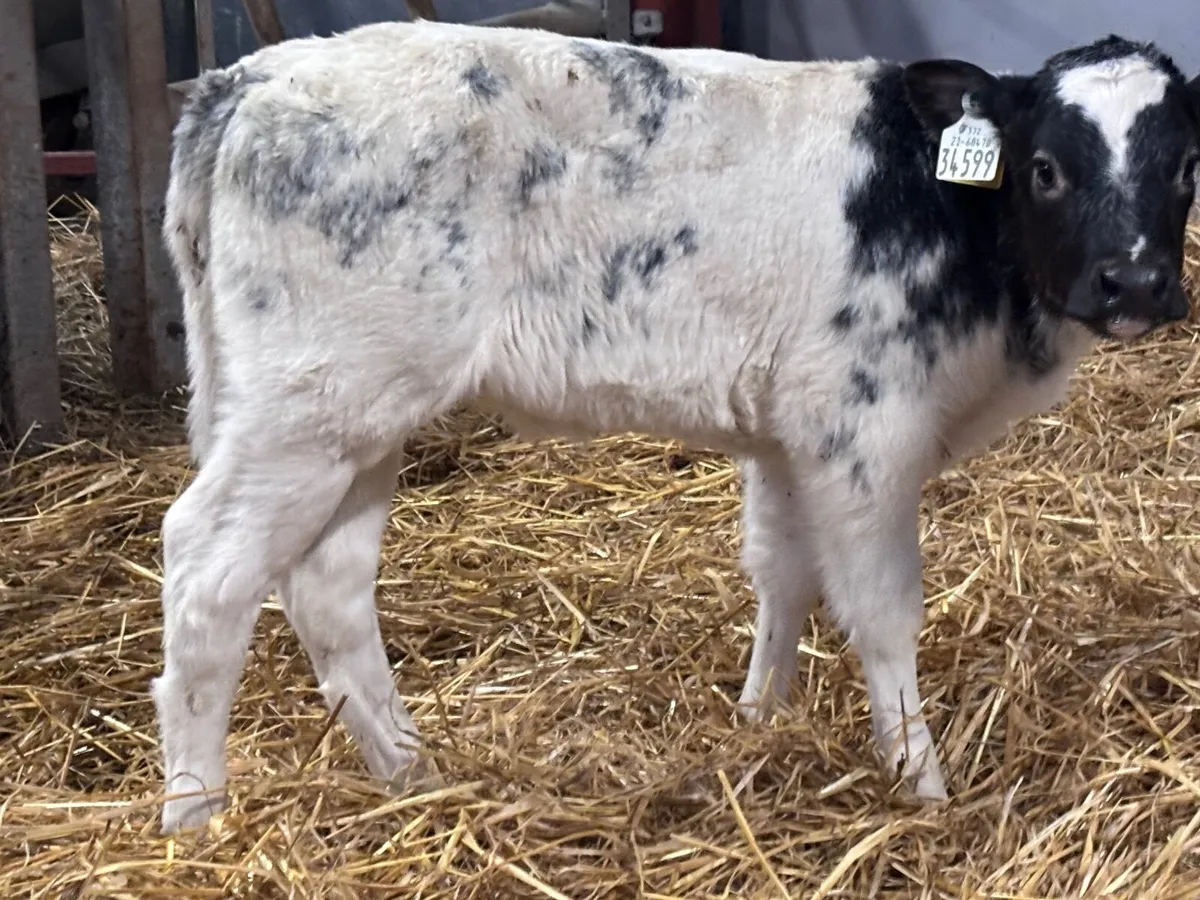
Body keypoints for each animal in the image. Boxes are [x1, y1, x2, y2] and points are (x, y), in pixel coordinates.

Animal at [153, 20, 1200, 832]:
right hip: (309, 408)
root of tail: (247, 79)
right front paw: (921, 782)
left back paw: (414, 773)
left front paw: (760, 720)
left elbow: (783, 575)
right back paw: (195, 817)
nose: (1136, 283)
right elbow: (884, 609)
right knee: (208, 571)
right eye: (1046, 167)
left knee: (328, 590)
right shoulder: (861, 428)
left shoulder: (786, 435)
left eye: (1187, 167)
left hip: (352, 421)